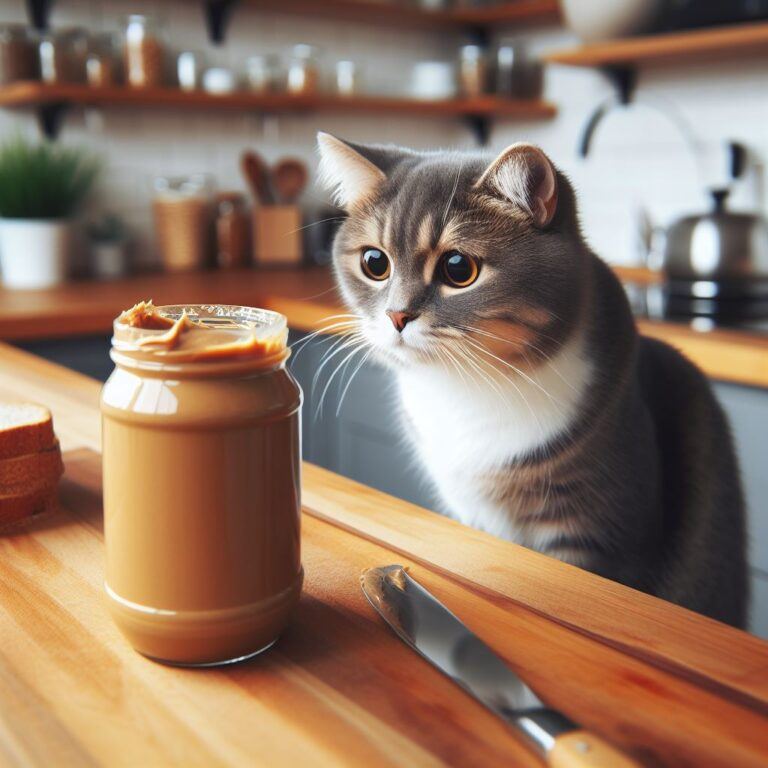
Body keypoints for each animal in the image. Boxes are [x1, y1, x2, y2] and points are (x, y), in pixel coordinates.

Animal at [316, 132, 748, 628]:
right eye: (374, 262)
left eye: (458, 268)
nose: (396, 315)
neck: (468, 386)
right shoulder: (471, 510)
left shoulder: (599, 531)